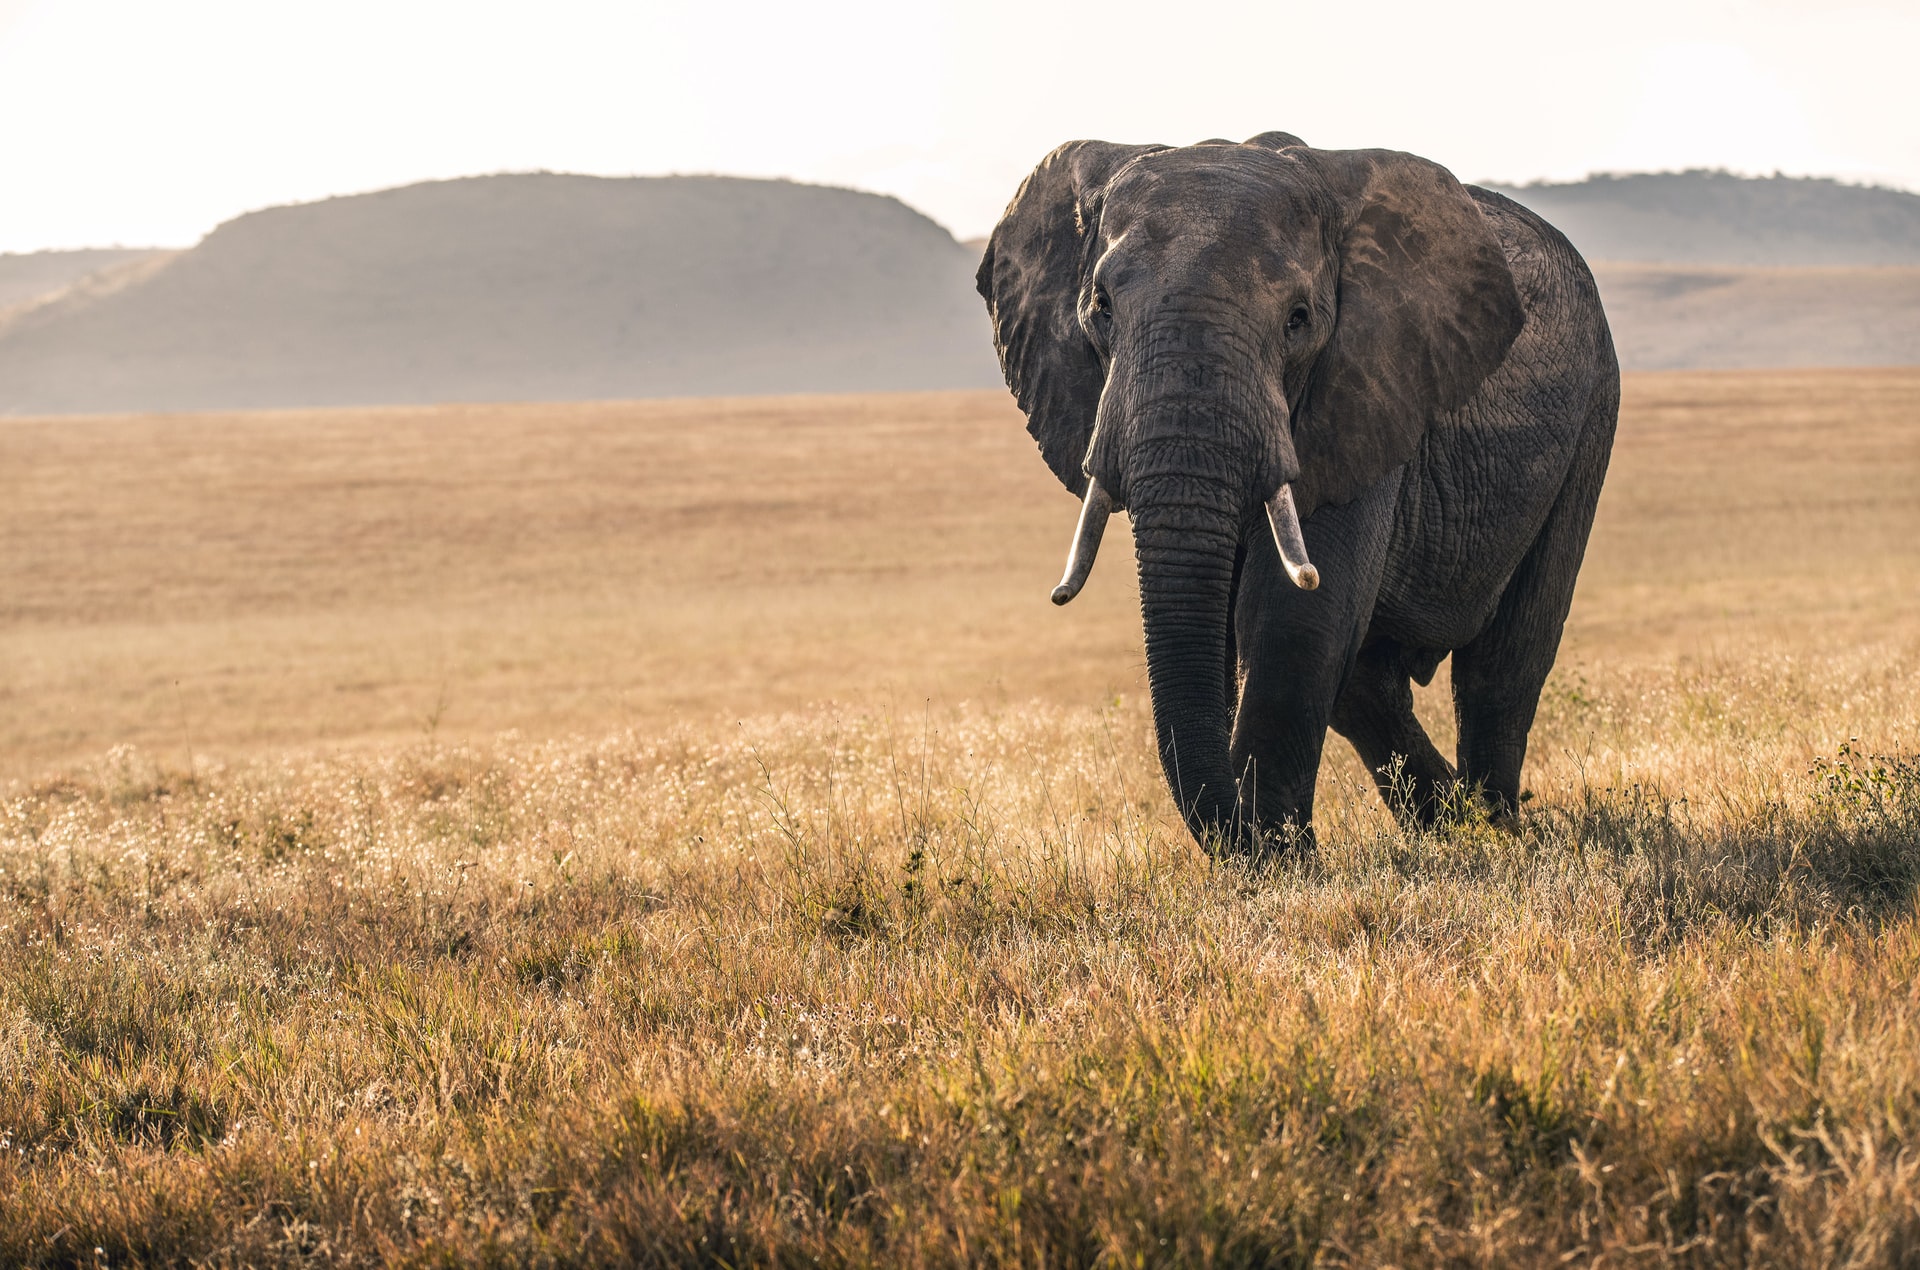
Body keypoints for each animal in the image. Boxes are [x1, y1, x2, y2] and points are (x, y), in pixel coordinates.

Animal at [975, 133, 1620, 853]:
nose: (1245, 832)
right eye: (1101, 308)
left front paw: (1280, 861)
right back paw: (1450, 828)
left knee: (1503, 664)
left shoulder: (1366, 387)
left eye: (1298, 319)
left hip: (1594, 411)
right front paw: (1273, 853)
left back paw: (1495, 832)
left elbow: (1294, 617)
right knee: (1369, 684)